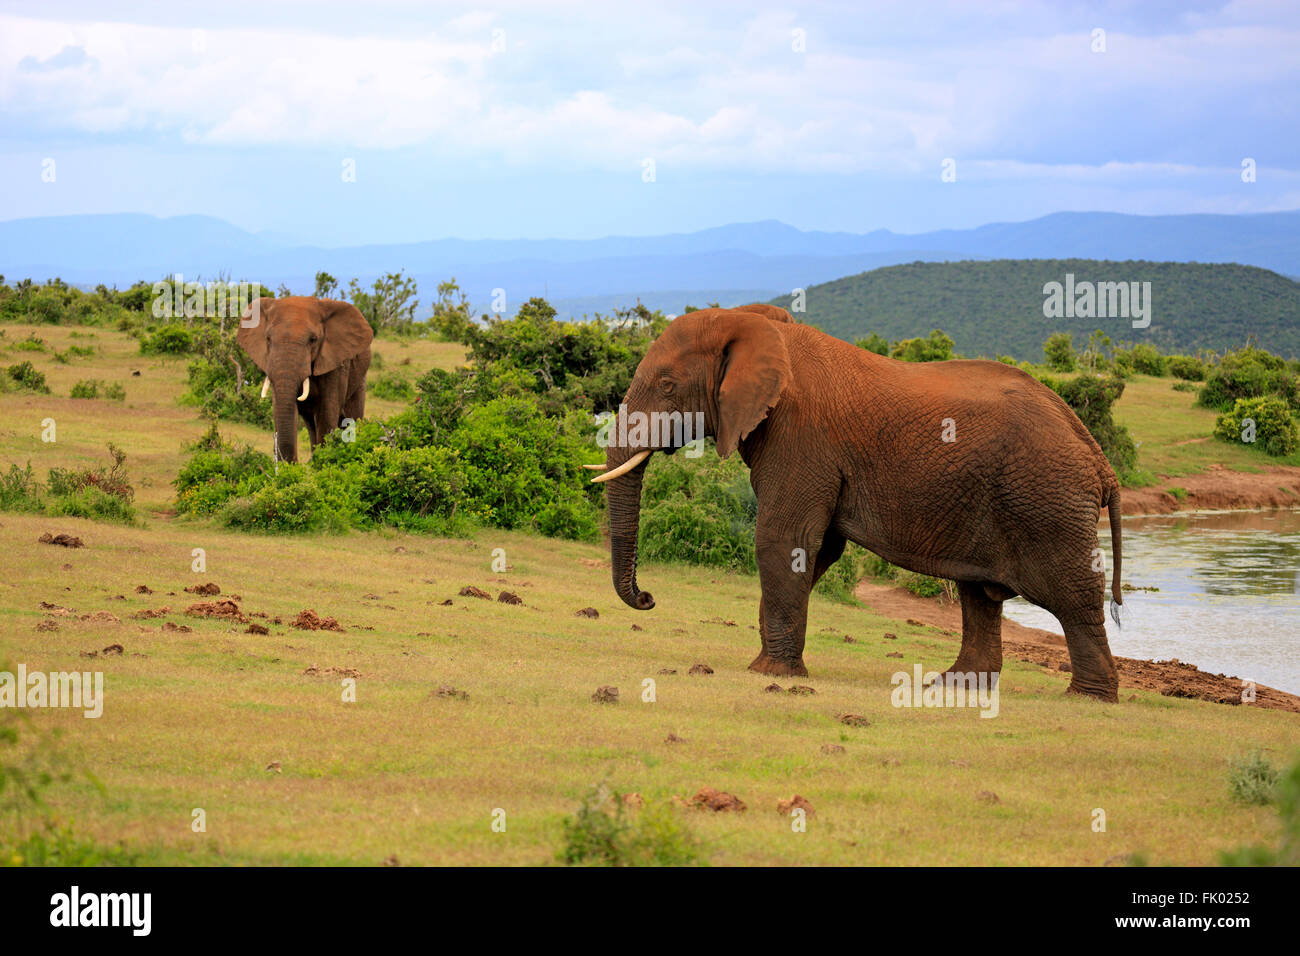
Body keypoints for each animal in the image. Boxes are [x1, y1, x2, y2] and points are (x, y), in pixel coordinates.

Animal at [236, 296, 373, 463]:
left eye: (313, 339)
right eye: (268, 338)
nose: (293, 464)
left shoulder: (336, 365)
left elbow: (327, 413)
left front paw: (321, 463)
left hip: (360, 379)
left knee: (351, 417)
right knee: (310, 424)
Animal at [588, 305, 1125, 701]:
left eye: (667, 386)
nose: (648, 598)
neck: (756, 326)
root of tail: (1100, 458)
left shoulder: (800, 435)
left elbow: (784, 540)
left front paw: (770, 671)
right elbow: (819, 549)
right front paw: (769, 660)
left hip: (1047, 501)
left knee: (1072, 594)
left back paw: (1088, 697)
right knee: (979, 592)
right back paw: (953, 686)